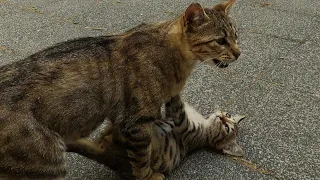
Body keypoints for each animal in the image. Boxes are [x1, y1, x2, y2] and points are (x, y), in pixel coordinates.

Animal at [69, 95, 245, 179]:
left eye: (227, 128)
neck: (204, 122)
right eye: (228, 115)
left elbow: (177, 105)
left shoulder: (184, 125)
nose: (222, 117)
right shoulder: (169, 115)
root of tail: (111, 159)